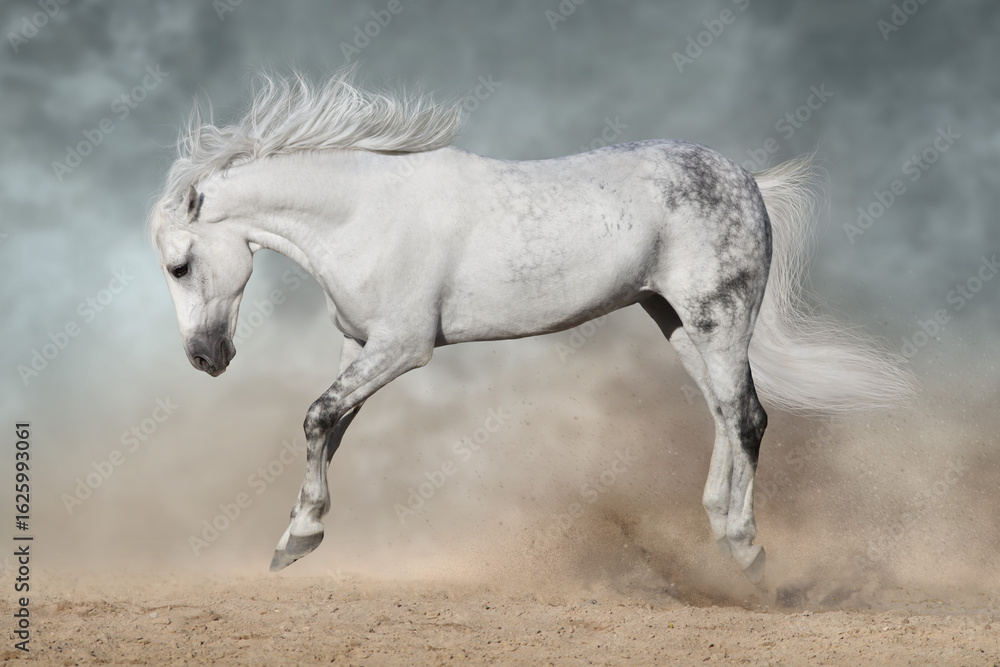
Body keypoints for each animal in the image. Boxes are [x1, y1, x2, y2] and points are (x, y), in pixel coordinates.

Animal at [149, 68, 911, 583]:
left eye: (179, 266)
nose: (205, 357)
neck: (365, 212)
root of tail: (748, 181)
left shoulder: (402, 348)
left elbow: (315, 417)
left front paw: (300, 537)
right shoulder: (360, 346)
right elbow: (330, 428)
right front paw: (298, 534)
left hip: (715, 318)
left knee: (748, 416)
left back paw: (749, 548)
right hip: (676, 323)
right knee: (724, 412)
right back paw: (724, 535)